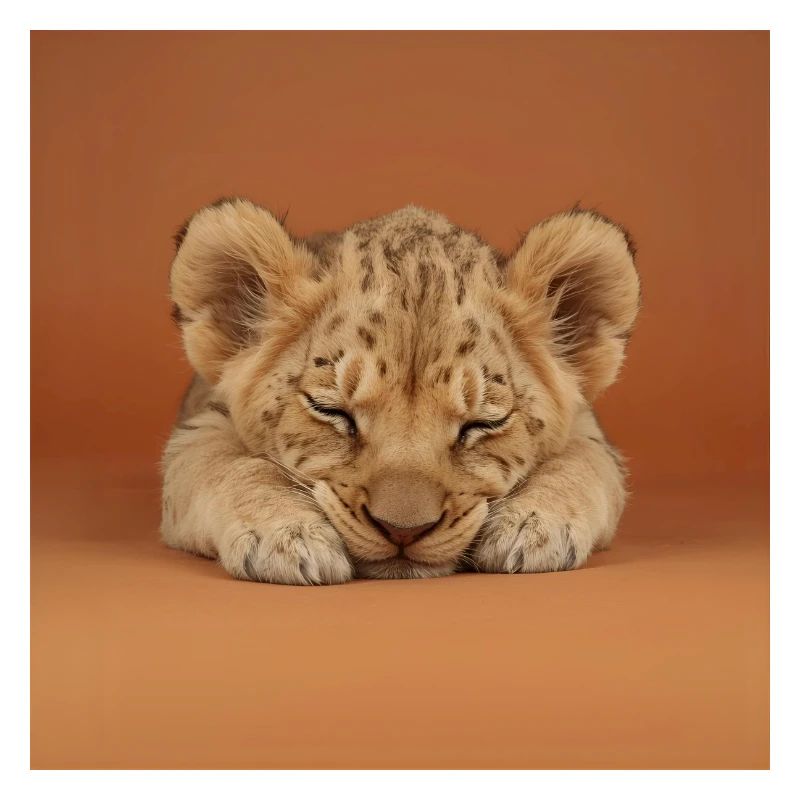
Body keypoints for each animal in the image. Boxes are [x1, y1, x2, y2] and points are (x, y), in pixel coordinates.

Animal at [161, 198, 640, 584]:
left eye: (482, 424)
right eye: (331, 411)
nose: (403, 531)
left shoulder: (588, 430)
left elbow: (578, 464)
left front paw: (535, 526)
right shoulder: (199, 427)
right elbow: (230, 467)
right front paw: (284, 536)